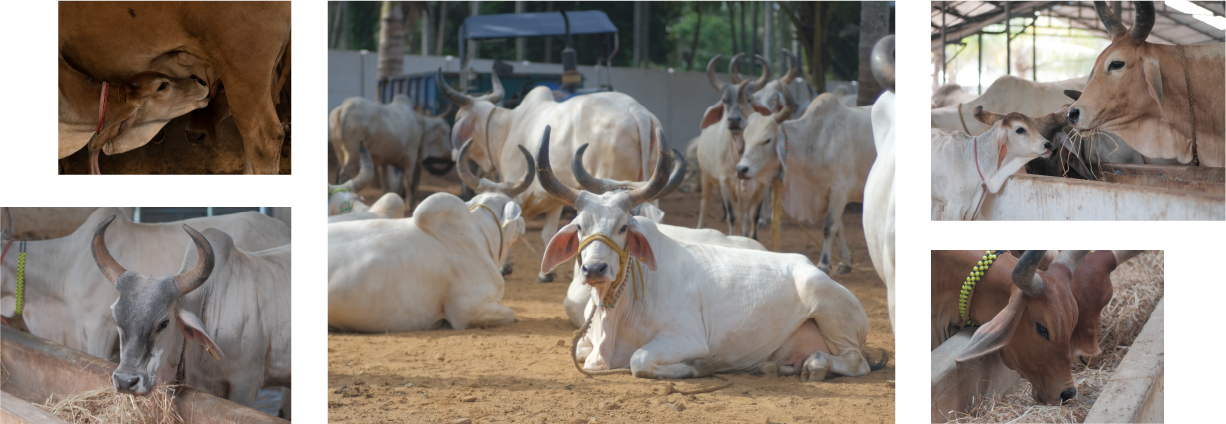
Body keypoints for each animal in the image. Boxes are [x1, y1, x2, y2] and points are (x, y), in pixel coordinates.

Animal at [436, 67, 662, 282]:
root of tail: (637, 111)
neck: (508, 127)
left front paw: (504, 266)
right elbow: (548, 233)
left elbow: (509, 223)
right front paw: (546, 274)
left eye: (458, 117)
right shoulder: (554, 201)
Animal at [695, 54, 773, 237]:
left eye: (749, 99)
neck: (739, 151)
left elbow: (753, 215)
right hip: (706, 177)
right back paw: (700, 228)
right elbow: (731, 215)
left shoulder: (760, 185)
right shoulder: (725, 181)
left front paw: (752, 238)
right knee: (705, 203)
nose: (734, 120)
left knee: (744, 212)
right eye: (725, 101)